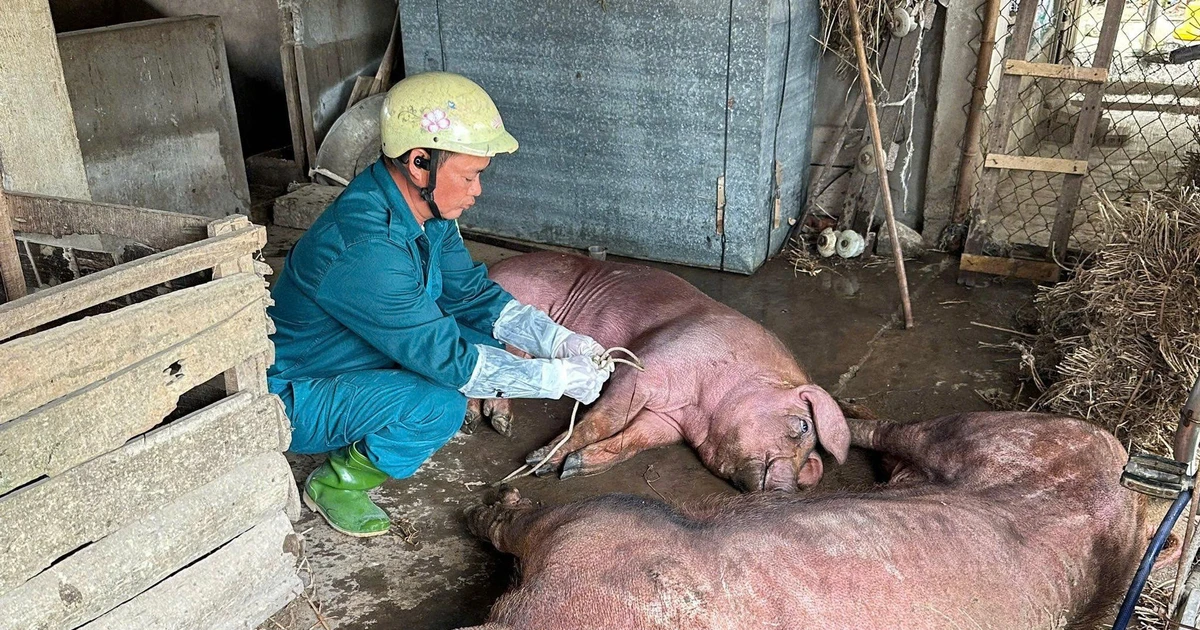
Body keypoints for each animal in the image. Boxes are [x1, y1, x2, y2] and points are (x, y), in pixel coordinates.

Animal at [461, 411, 1171, 630]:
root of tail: (1124, 472)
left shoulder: (603, 528)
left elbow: (521, 521)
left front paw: (482, 505)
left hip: (989, 434)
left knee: (895, 431)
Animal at [464, 251, 849, 492]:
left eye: (807, 462)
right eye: (803, 426)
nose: (787, 489)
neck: (698, 409)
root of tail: (487, 270)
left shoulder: (667, 422)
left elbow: (634, 440)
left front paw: (575, 467)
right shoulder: (646, 367)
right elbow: (604, 421)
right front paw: (540, 464)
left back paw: (493, 422)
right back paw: (495, 424)